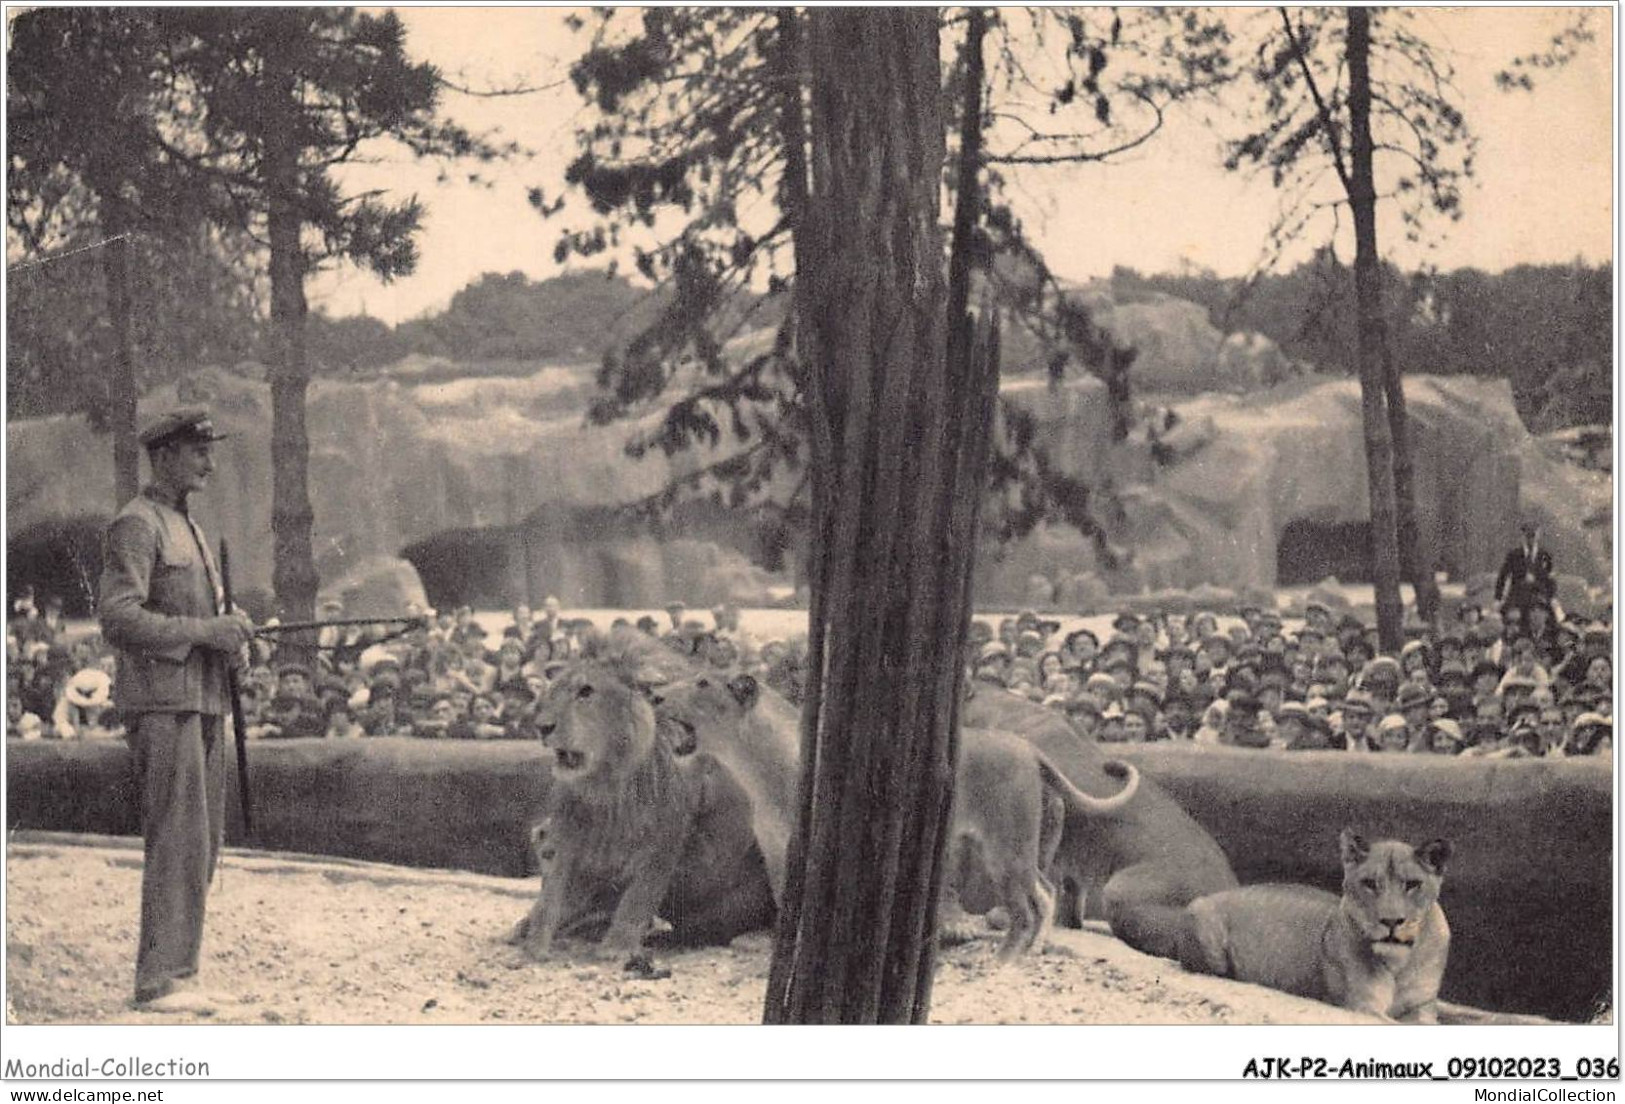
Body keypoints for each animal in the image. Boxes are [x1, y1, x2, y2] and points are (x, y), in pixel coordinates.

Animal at [650, 669, 1144, 962]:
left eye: (701, 684)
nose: (653, 695)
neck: (757, 769)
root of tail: (1031, 749)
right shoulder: (776, 853)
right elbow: (782, 903)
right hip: (1018, 847)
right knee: (1046, 892)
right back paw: (1029, 955)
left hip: (1006, 847)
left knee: (1030, 904)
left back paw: (1005, 962)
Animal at [1176, 829, 1456, 1027]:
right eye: (1369, 883)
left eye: (1412, 884)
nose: (1390, 921)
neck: (1400, 964)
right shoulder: (1363, 1005)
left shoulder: (1422, 1007)